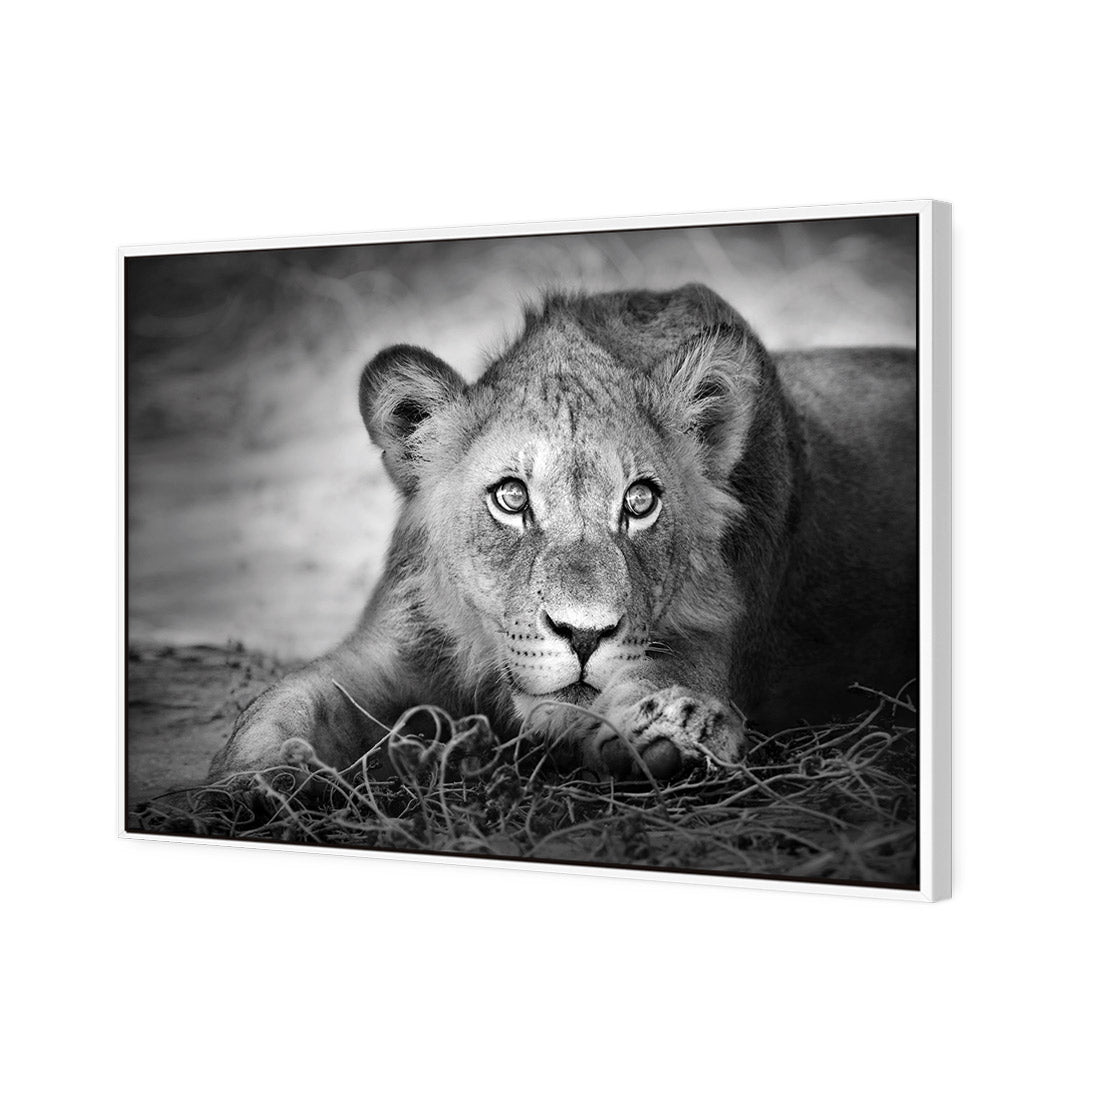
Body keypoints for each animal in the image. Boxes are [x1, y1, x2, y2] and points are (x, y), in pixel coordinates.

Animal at [210, 283, 917, 783]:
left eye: (640, 502)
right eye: (511, 497)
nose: (583, 635)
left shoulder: (715, 643)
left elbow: (648, 685)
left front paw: (673, 731)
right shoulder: (390, 648)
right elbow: (280, 705)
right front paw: (248, 786)